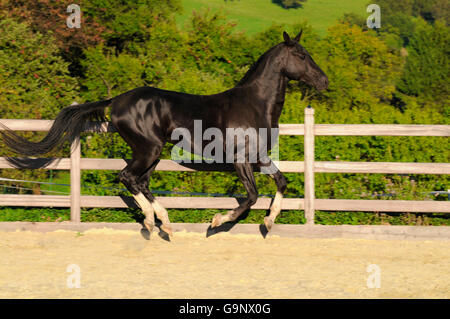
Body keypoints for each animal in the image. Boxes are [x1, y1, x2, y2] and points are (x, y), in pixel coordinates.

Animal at [0, 31, 326, 236]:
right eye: (301, 55)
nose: (324, 80)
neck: (254, 104)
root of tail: (116, 100)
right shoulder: (240, 160)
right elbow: (250, 197)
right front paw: (216, 221)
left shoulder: (259, 157)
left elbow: (281, 182)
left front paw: (268, 224)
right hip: (149, 149)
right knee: (128, 178)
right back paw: (152, 221)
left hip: (151, 152)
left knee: (140, 182)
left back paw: (164, 223)